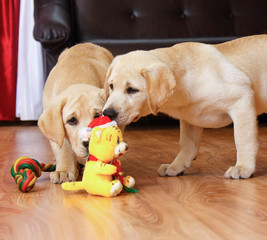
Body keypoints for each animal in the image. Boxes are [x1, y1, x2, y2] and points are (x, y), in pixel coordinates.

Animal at [103, 34, 267, 179]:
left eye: (132, 90)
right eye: (111, 86)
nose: (107, 113)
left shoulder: (242, 98)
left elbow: (243, 139)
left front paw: (243, 167)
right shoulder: (190, 118)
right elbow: (188, 145)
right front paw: (176, 166)